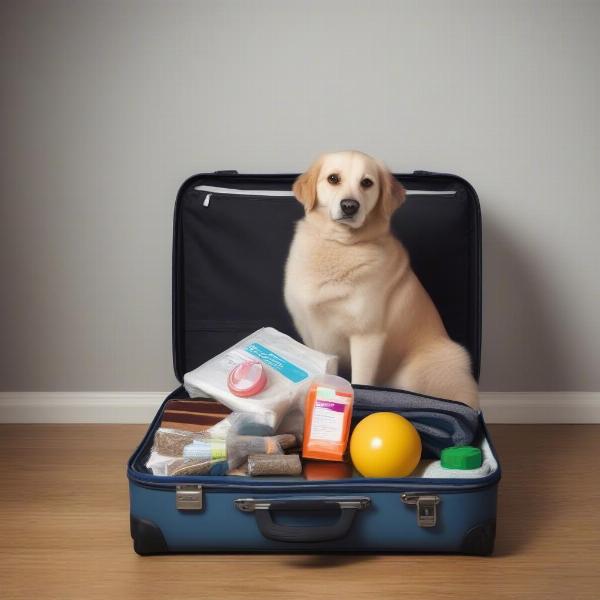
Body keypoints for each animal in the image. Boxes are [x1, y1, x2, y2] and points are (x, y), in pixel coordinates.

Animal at [284, 152, 480, 410]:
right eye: (333, 178)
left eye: (367, 182)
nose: (349, 206)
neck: (340, 246)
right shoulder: (311, 332)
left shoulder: (367, 337)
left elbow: (361, 381)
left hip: (416, 371)